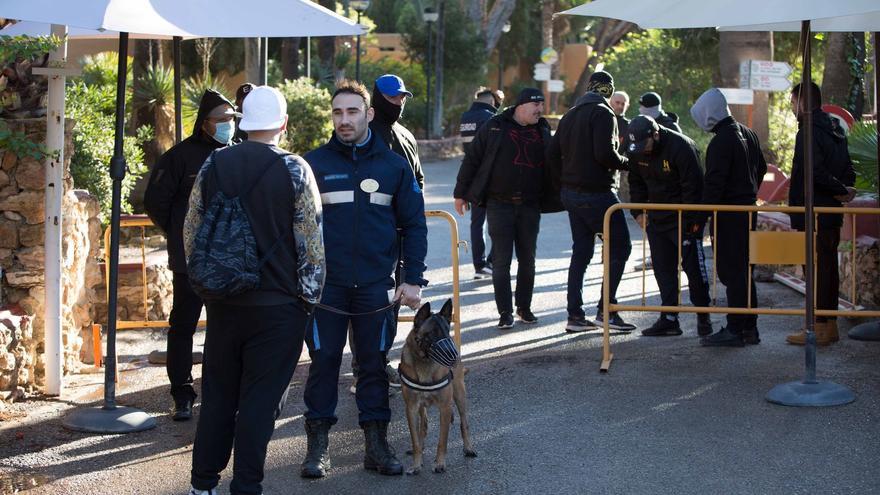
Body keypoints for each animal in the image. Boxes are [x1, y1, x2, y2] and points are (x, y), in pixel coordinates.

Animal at [400, 300, 478, 474]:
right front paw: (416, 464)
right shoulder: (411, 408)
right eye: (432, 333)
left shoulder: (445, 406)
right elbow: (415, 439)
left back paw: (468, 448)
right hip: (422, 407)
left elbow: (443, 440)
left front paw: (440, 463)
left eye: (447, 330)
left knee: (464, 423)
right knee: (424, 425)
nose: (453, 355)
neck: (425, 362)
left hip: (460, 395)